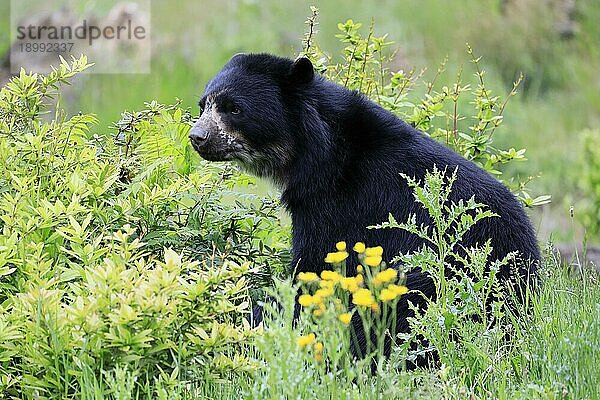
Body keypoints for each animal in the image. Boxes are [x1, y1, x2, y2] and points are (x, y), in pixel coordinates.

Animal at [189, 53, 540, 366]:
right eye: (203, 105)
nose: (197, 137)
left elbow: (314, 270)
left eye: (234, 108)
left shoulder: (337, 204)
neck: (317, 153)